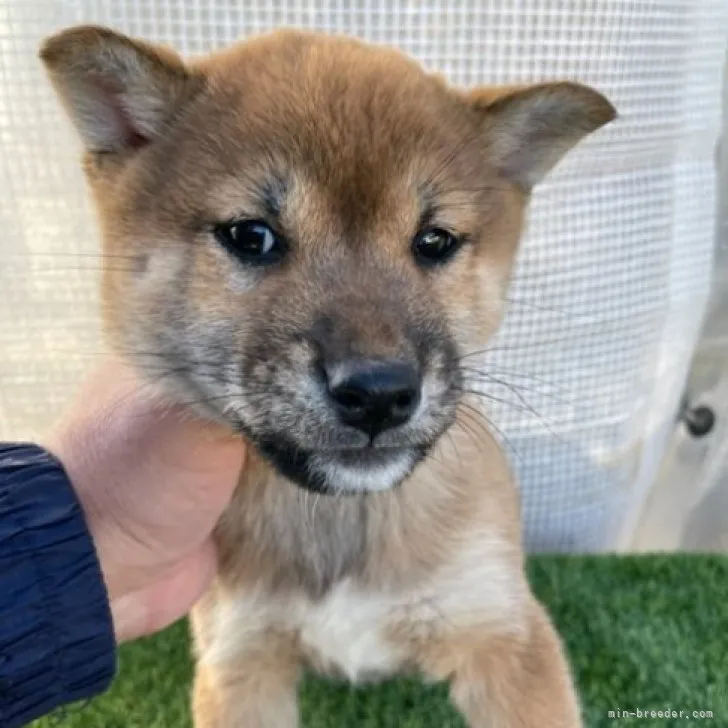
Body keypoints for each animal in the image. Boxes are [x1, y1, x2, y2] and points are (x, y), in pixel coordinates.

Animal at [41, 24, 616, 728]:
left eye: (434, 241)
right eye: (251, 236)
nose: (380, 395)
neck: (342, 521)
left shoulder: (504, 633)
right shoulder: (242, 661)